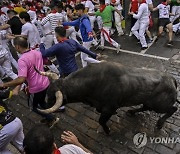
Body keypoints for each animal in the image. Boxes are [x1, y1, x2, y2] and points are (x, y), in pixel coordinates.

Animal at [34, 62, 179, 134]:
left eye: (51, 98)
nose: (45, 107)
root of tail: (171, 79)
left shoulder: (109, 108)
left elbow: (101, 120)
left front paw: (107, 130)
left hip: (160, 105)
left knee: (173, 109)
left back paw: (159, 123)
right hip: (149, 102)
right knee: (144, 107)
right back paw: (131, 111)